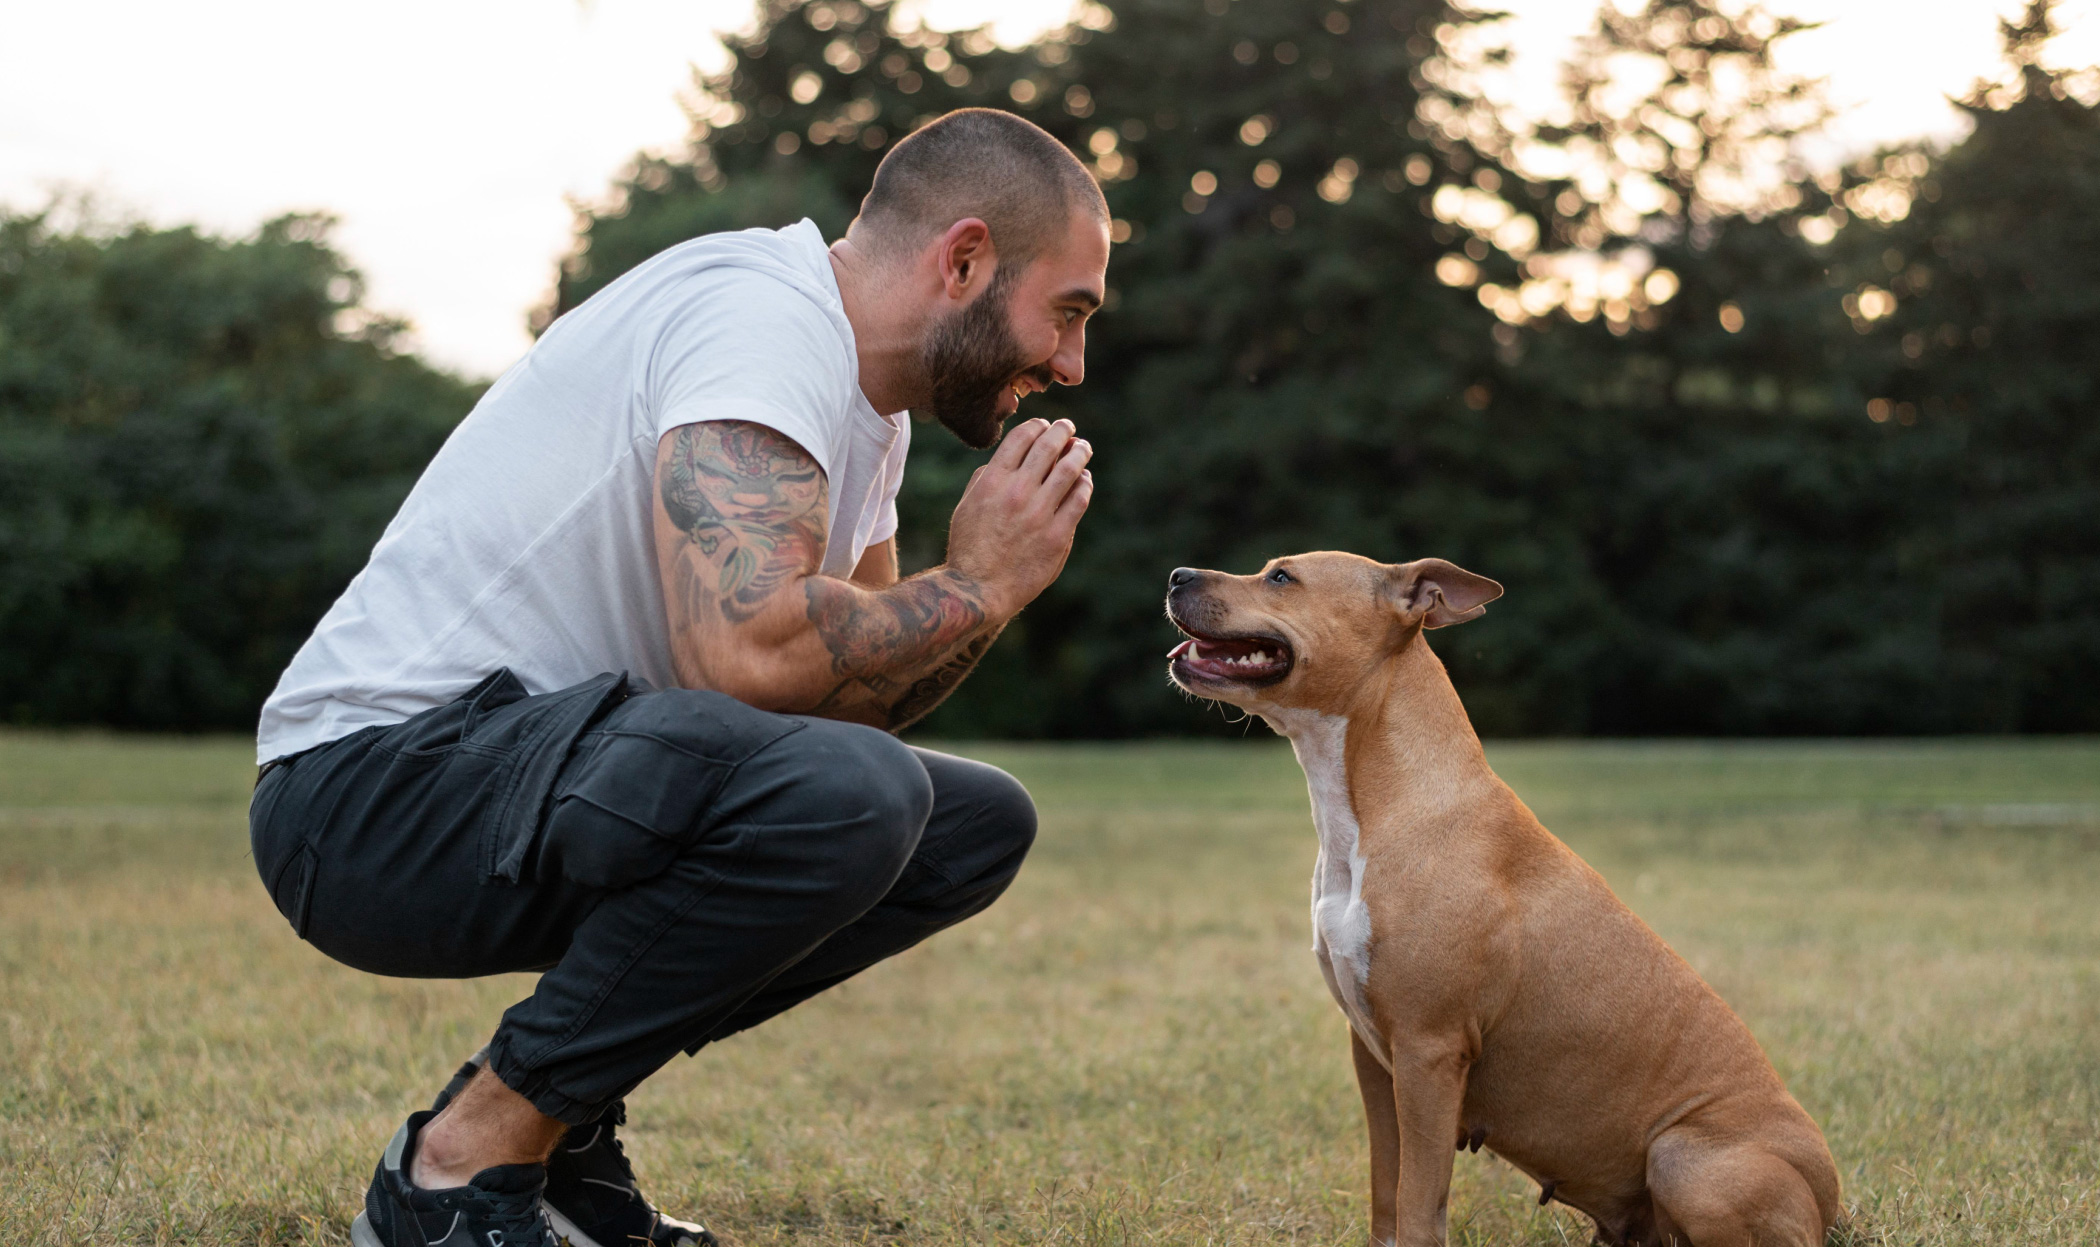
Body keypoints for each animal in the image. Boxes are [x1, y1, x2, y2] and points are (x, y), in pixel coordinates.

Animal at [1167, 554, 1839, 1242]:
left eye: (1281, 577)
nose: (1177, 575)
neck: (1372, 805)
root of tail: (1831, 1200)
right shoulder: (1375, 1058)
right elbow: (1387, 1190)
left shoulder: (1430, 1053)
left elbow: (1418, 1201)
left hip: (1684, 1157)